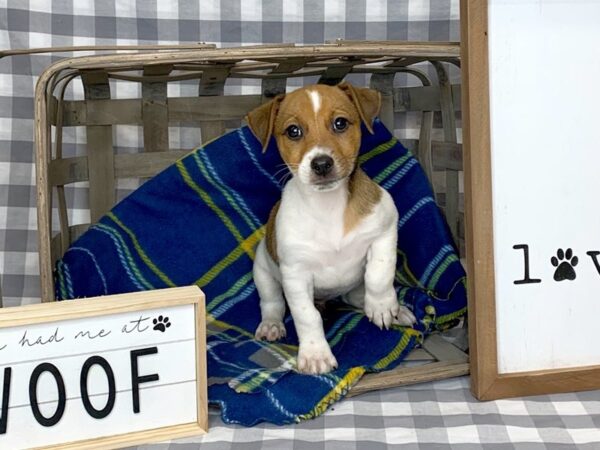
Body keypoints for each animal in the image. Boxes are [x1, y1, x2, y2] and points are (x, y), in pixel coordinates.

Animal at [246, 82, 414, 374]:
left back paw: (396, 310)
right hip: (263, 271)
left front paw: (382, 306)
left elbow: (379, 274)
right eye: (293, 131)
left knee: (359, 296)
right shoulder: (295, 275)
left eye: (340, 123)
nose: (321, 163)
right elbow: (306, 316)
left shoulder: (385, 229)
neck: (328, 207)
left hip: (352, 286)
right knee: (272, 303)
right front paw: (315, 354)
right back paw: (271, 325)